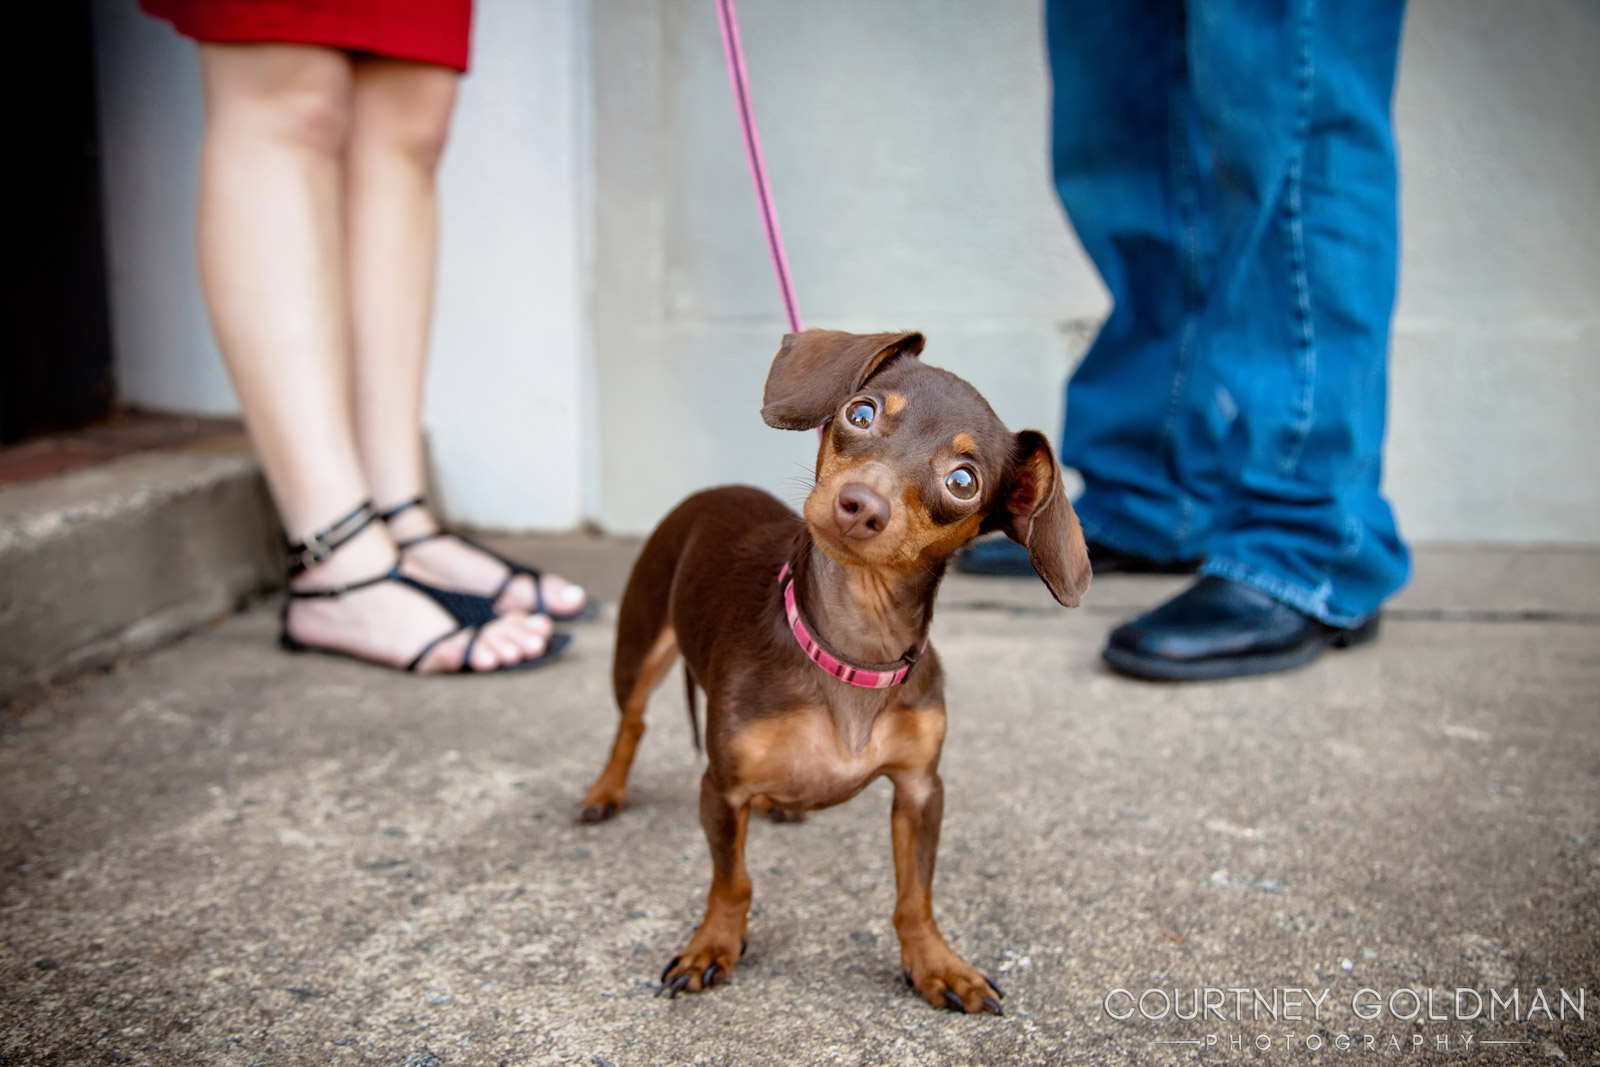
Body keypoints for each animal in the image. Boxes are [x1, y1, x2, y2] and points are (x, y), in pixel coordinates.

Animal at [576, 329, 1088, 1017]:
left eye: (962, 480)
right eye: (860, 413)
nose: (859, 505)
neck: (850, 651)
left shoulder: (920, 790)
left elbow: (914, 896)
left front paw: (934, 962)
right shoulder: (722, 790)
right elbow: (733, 881)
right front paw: (714, 944)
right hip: (637, 649)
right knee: (630, 724)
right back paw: (605, 792)